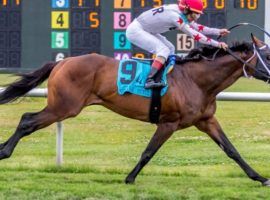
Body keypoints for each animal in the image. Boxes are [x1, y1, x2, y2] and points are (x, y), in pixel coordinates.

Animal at [0, 35, 270, 187]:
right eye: (267, 55)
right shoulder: (169, 122)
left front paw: (259, 177)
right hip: (64, 107)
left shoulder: (206, 120)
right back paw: (4, 151)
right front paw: (129, 178)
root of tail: (62, 62)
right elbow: (148, 152)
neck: (195, 80)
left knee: (27, 120)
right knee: (27, 120)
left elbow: (232, 150)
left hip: (62, 107)